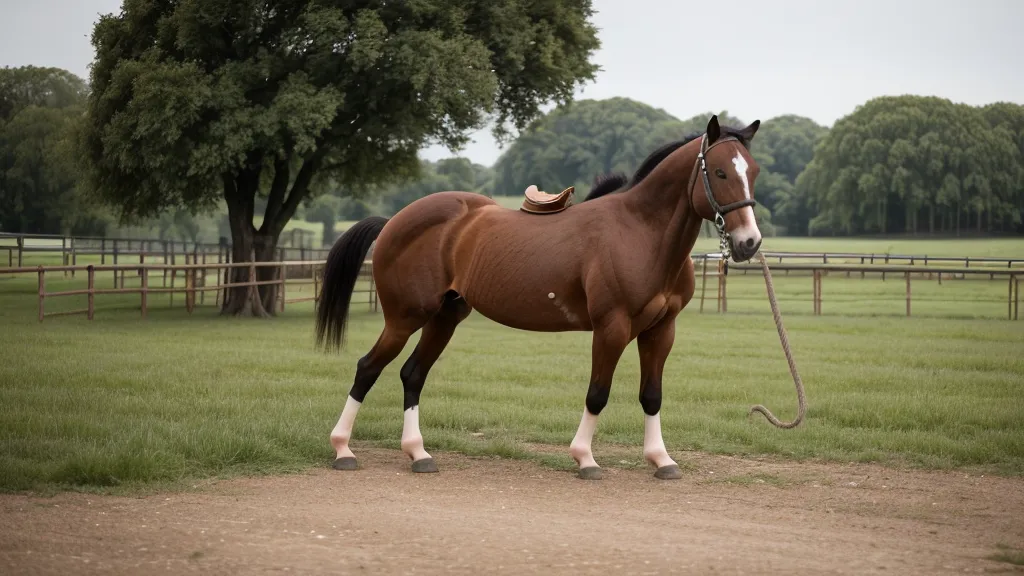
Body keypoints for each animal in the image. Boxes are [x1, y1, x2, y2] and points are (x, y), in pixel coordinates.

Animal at [315, 114, 765, 480]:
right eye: (720, 172)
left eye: (754, 171)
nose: (749, 243)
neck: (640, 232)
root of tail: (395, 220)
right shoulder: (611, 328)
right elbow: (598, 393)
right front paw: (585, 459)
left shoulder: (660, 331)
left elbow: (651, 396)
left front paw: (661, 460)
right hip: (405, 317)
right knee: (367, 368)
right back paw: (343, 449)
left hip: (445, 317)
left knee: (412, 374)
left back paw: (418, 454)